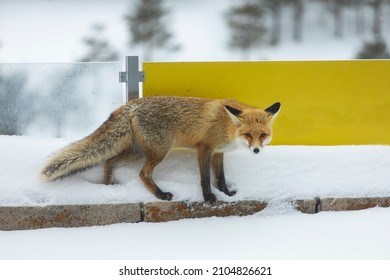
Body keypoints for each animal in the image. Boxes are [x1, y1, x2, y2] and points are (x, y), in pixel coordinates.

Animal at [41, 95, 280, 201]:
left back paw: (108, 188)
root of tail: (133, 104)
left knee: (109, 161)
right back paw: (160, 194)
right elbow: (205, 178)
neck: (227, 126)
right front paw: (208, 198)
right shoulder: (204, 148)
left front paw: (227, 193)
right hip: (159, 151)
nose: (256, 150)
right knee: (142, 174)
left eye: (263, 135)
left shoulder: (218, 152)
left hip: (137, 151)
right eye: (248, 135)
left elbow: (220, 177)